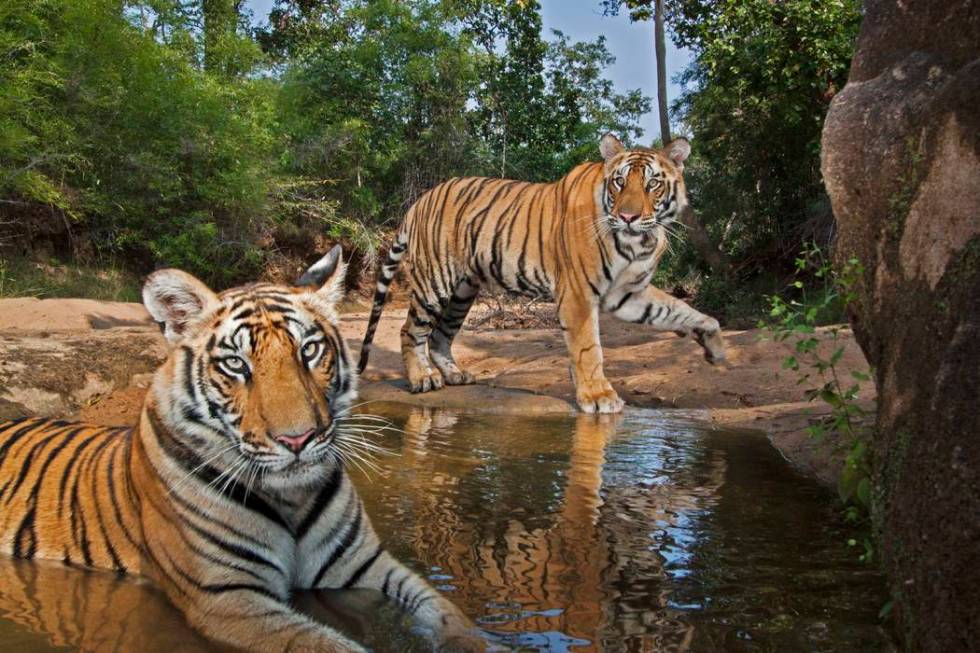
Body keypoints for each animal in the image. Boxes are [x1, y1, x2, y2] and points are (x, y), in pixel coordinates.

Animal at [0, 246, 482, 652]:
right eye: (236, 364)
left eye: (310, 350)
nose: (298, 439)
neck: (292, 498)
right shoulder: (228, 598)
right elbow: (326, 645)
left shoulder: (362, 563)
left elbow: (446, 610)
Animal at [360, 132, 728, 412]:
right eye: (620, 182)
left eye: (653, 184)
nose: (628, 217)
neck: (637, 242)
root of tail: (420, 200)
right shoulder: (578, 294)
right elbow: (588, 348)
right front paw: (599, 396)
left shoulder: (628, 293)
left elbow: (680, 309)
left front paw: (714, 345)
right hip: (435, 281)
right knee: (411, 330)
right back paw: (422, 379)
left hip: (463, 291)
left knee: (440, 334)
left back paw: (454, 375)